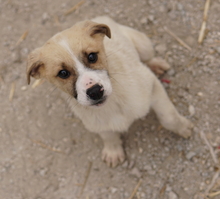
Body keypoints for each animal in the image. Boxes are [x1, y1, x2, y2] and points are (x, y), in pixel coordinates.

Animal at [26, 16, 192, 167]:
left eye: (92, 56)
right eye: (63, 73)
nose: (95, 92)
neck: (112, 102)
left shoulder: (153, 85)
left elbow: (169, 117)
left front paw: (183, 128)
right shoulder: (98, 124)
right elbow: (108, 136)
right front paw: (113, 152)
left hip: (144, 45)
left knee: (148, 58)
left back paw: (156, 64)